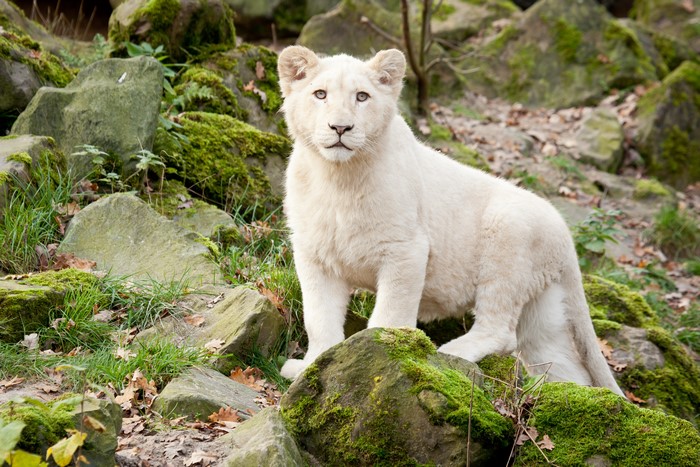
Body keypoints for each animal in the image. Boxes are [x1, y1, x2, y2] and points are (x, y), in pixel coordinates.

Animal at [276, 45, 624, 397]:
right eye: (320, 94)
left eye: (362, 96)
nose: (340, 128)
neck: (338, 177)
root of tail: (565, 234)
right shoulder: (314, 254)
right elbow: (319, 317)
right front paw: (311, 366)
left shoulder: (406, 250)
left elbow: (389, 314)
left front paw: (377, 355)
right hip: (543, 307)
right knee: (560, 362)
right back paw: (576, 397)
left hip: (507, 237)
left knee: (501, 331)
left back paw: (451, 354)